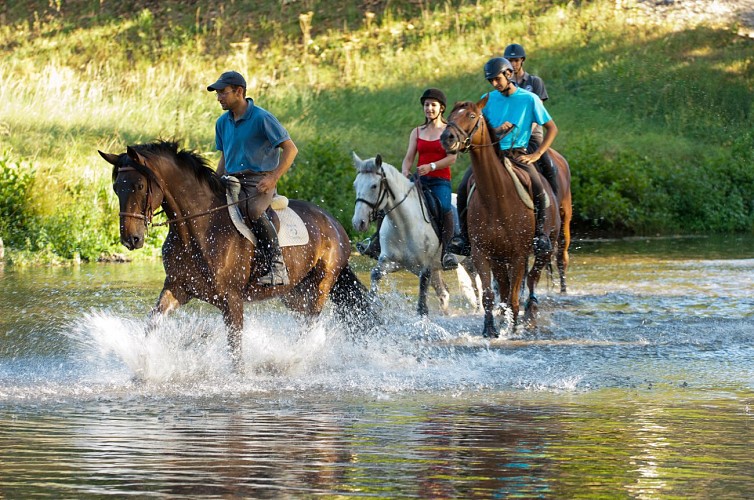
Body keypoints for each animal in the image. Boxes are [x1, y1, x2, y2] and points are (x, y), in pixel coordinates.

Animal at [100, 141, 370, 368]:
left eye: (139, 186)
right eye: (116, 188)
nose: (131, 239)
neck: (197, 227)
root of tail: (335, 224)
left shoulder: (231, 300)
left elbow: (235, 350)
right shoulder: (177, 287)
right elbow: (151, 324)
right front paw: (143, 368)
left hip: (319, 288)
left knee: (310, 331)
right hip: (294, 294)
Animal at [348, 152, 476, 316]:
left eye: (374, 186)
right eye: (355, 184)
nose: (358, 222)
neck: (404, 225)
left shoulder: (425, 268)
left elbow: (422, 306)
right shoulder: (393, 262)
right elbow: (375, 274)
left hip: (471, 262)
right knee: (444, 293)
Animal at [438, 97, 568, 336]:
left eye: (471, 116)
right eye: (449, 117)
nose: (447, 138)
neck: (496, 196)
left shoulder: (518, 255)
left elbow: (515, 295)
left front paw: (513, 328)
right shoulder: (482, 253)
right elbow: (490, 294)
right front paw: (490, 329)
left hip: (545, 248)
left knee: (532, 279)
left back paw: (529, 315)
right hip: (500, 258)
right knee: (505, 288)